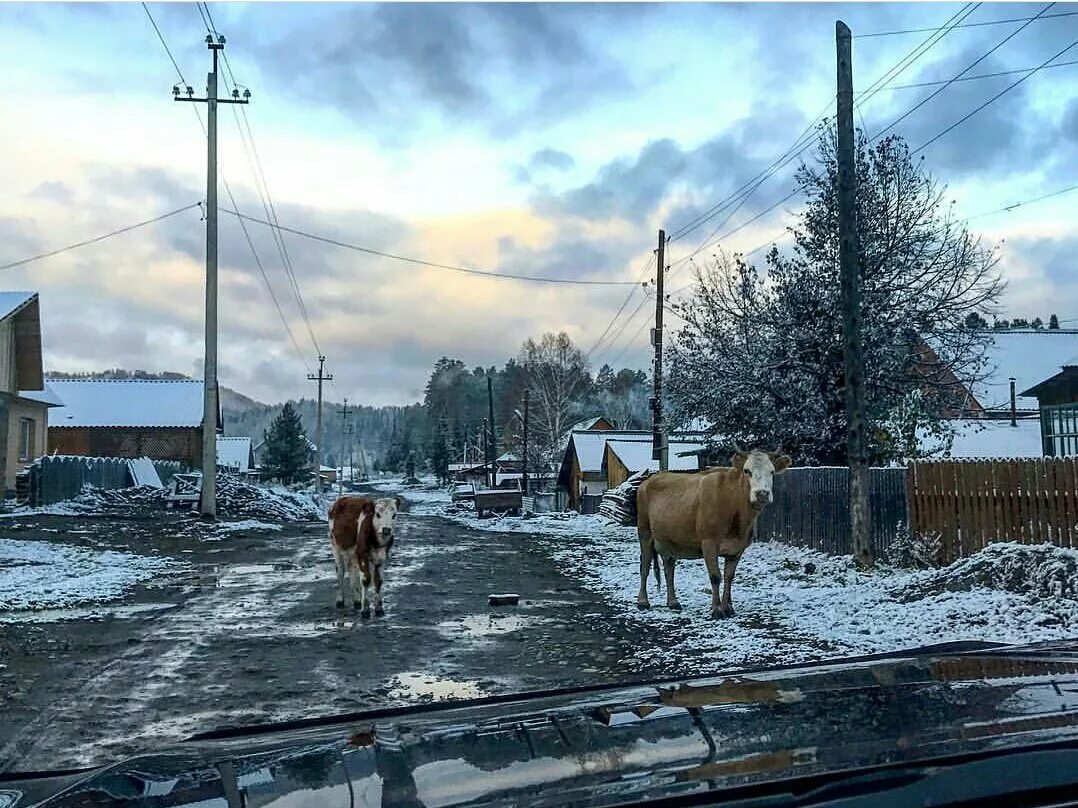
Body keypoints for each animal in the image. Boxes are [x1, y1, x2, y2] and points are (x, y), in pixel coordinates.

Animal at [629, 450, 793, 620]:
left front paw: (728, 608)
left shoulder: (738, 548)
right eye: (747, 471)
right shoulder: (709, 543)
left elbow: (729, 577)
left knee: (669, 569)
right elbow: (715, 576)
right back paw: (642, 602)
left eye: (772, 471)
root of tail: (648, 481)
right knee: (645, 566)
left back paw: (673, 602)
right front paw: (716, 610)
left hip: (669, 539)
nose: (762, 493)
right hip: (644, 532)